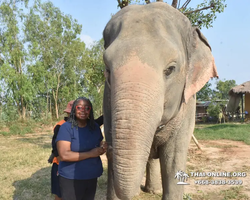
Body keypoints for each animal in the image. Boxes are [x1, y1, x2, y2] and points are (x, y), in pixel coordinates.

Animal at [102, 1, 218, 200]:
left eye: (170, 69)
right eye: (108, 70)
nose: (108, 149)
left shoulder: (188, 107)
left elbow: (173, 161)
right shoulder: (107, 101)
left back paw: (153, 191)